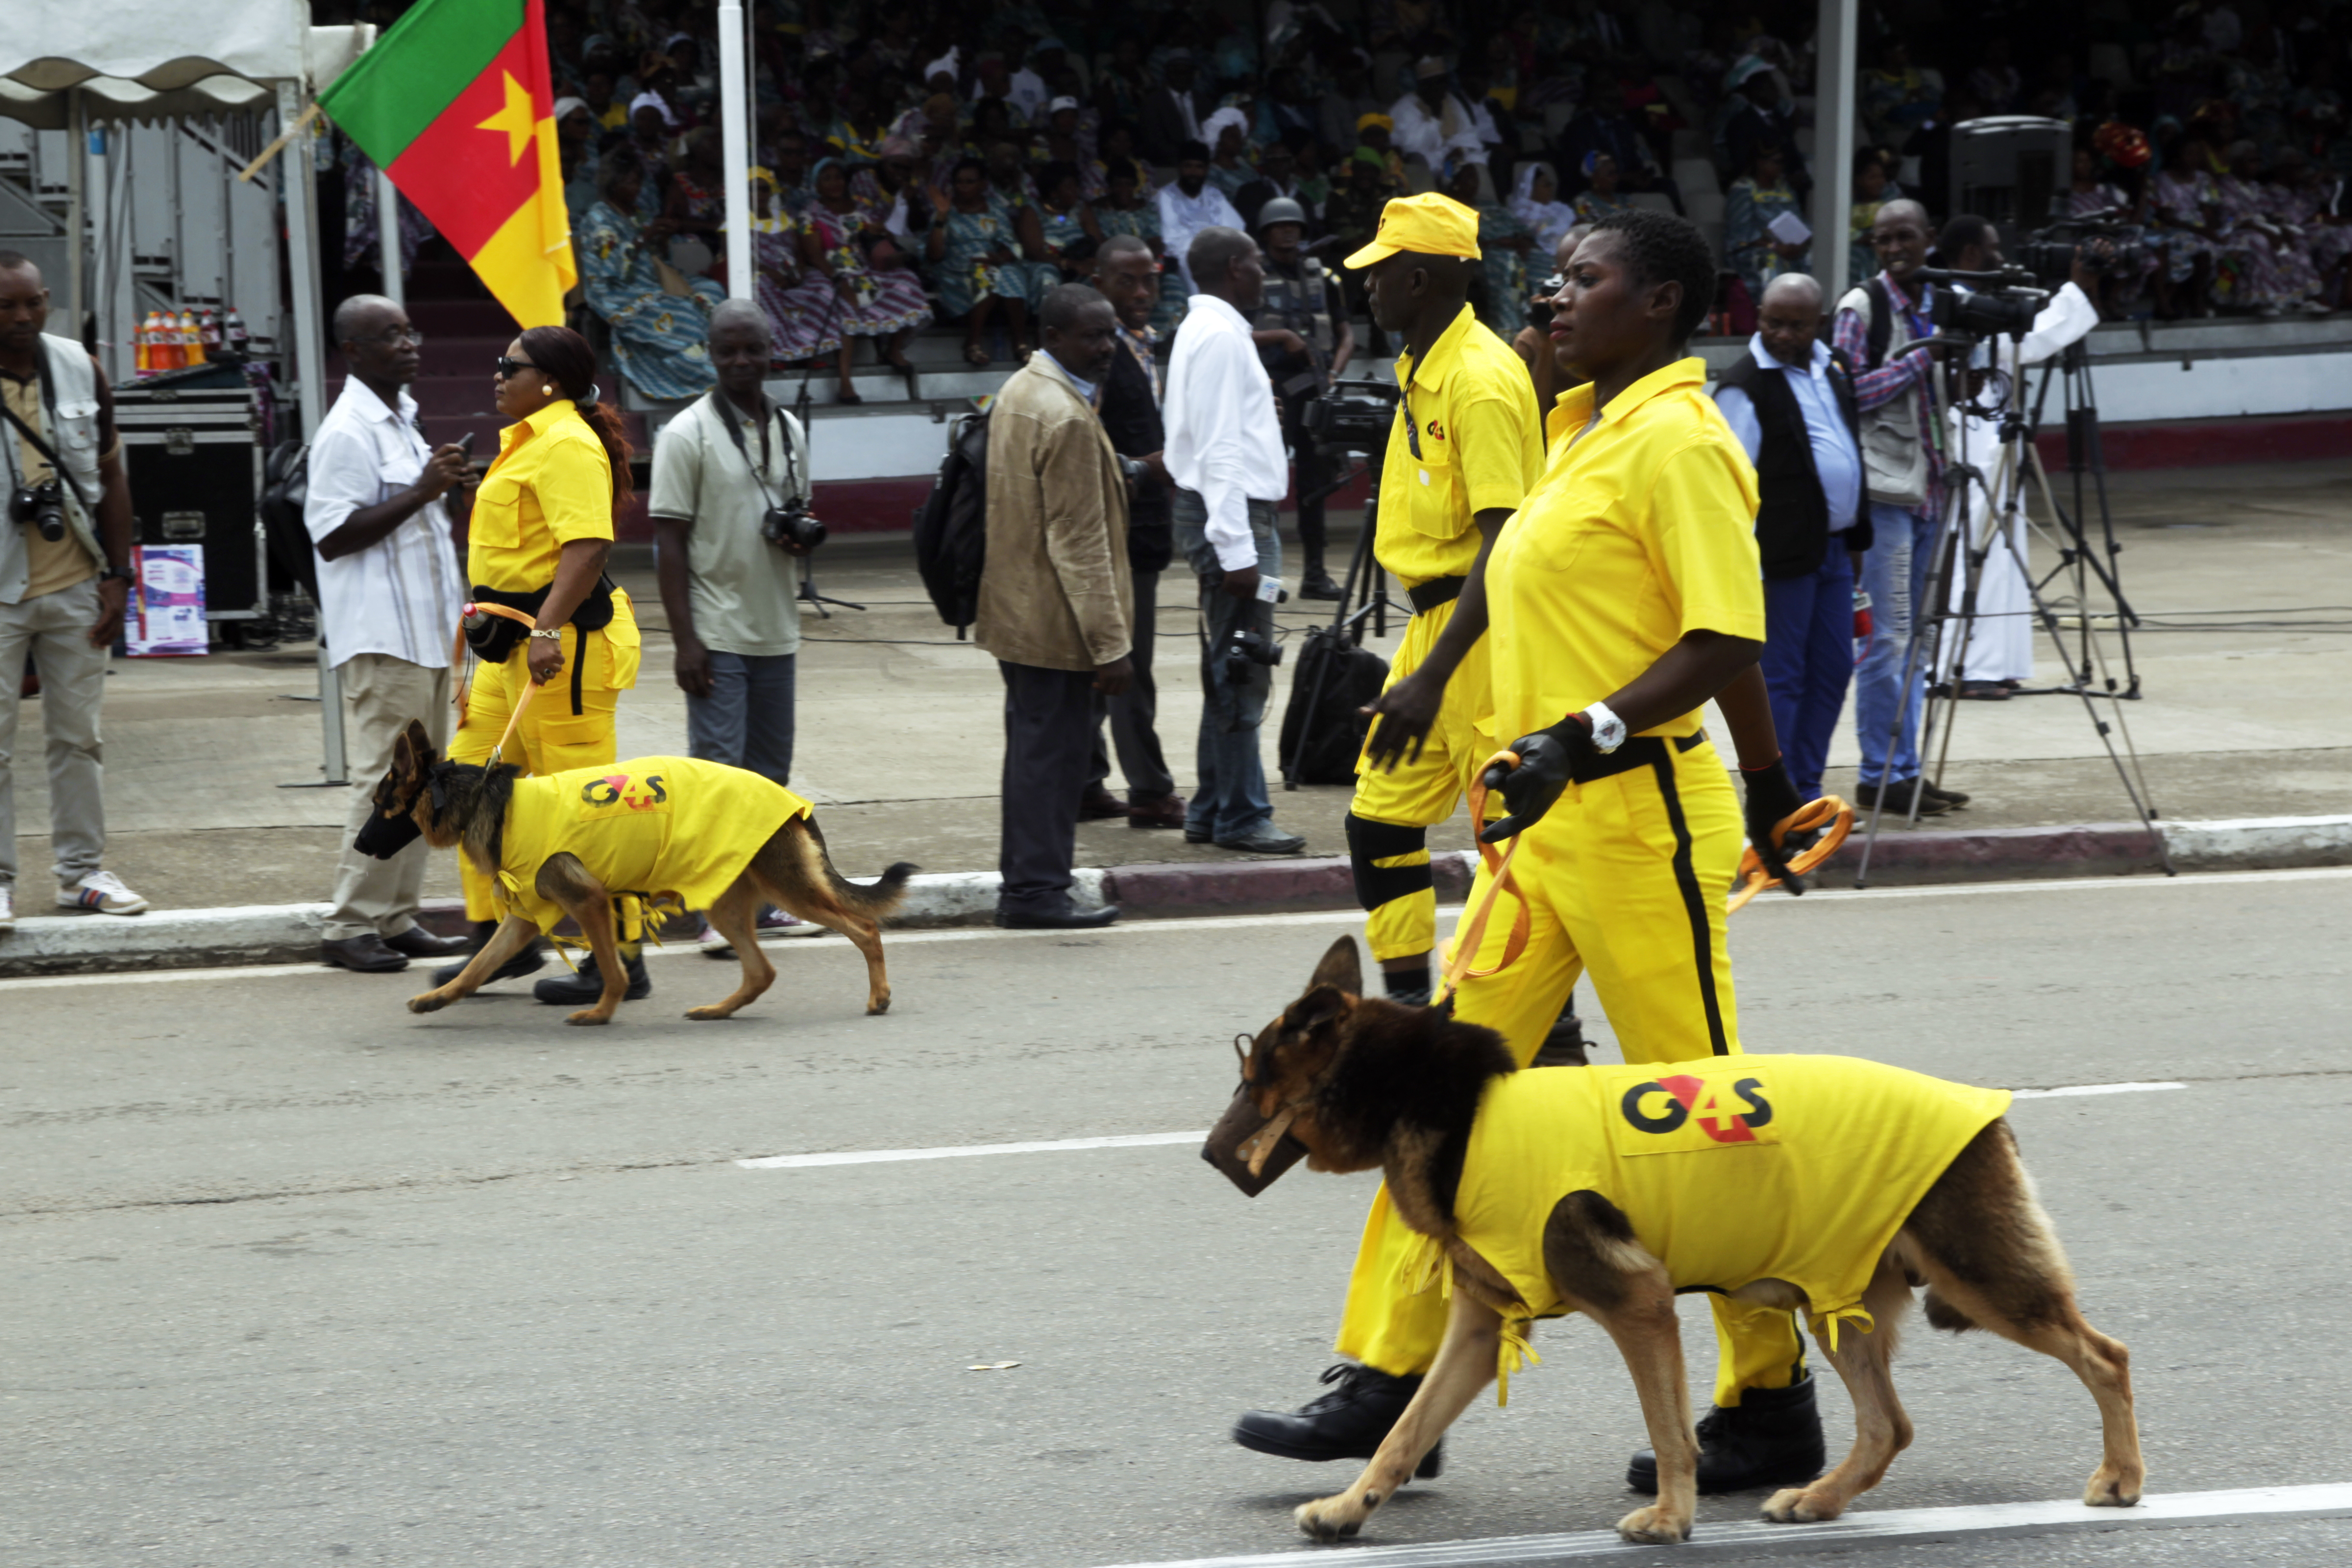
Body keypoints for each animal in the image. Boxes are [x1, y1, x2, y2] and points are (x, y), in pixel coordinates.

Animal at [360, 719, 917, 1025]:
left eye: (379, 805)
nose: (360, 844)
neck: (484, 802)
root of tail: (792, 802)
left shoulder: (586, 902)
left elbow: (612, 969)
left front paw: (602, 1012)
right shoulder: (525, 917)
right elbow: (477, 967)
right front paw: (437, 999)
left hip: (789, 889)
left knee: (864, 928)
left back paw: (879, 996)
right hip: (726, 902)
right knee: (762, 971)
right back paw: (718, 1011)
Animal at [1213, 940, 2154, 1551]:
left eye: (1251, 1079)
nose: (1206, 1153)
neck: (1447, 1103)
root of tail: (1986, 1111)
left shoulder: (1640, 1305)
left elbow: (1667, 1429)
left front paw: (1673, 1517)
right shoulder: (1480, 1333)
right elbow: (1402, 1433)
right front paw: (1348, 1508)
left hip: (1981, 1279)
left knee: (2104, 1355)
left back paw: (2122, 1477)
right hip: (1838, 1299)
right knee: (1889, 1424)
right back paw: (1821, 1497)